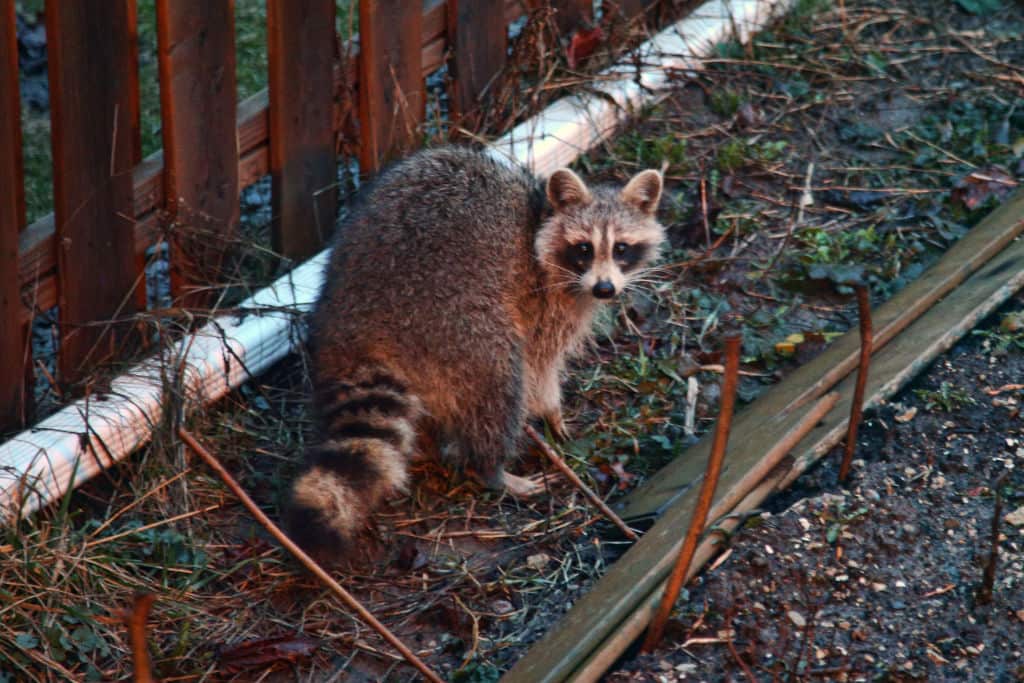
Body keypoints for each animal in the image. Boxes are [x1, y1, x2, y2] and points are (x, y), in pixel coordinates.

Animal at [287, 146, 665, 558]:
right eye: (584, 249)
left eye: (621, 249)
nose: (604, 289)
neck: (541, 222)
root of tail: (361, 328)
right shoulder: (541, 301)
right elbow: (540, 365)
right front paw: (551, 410)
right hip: (458, 323)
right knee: (499, 387)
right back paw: (492, 470)